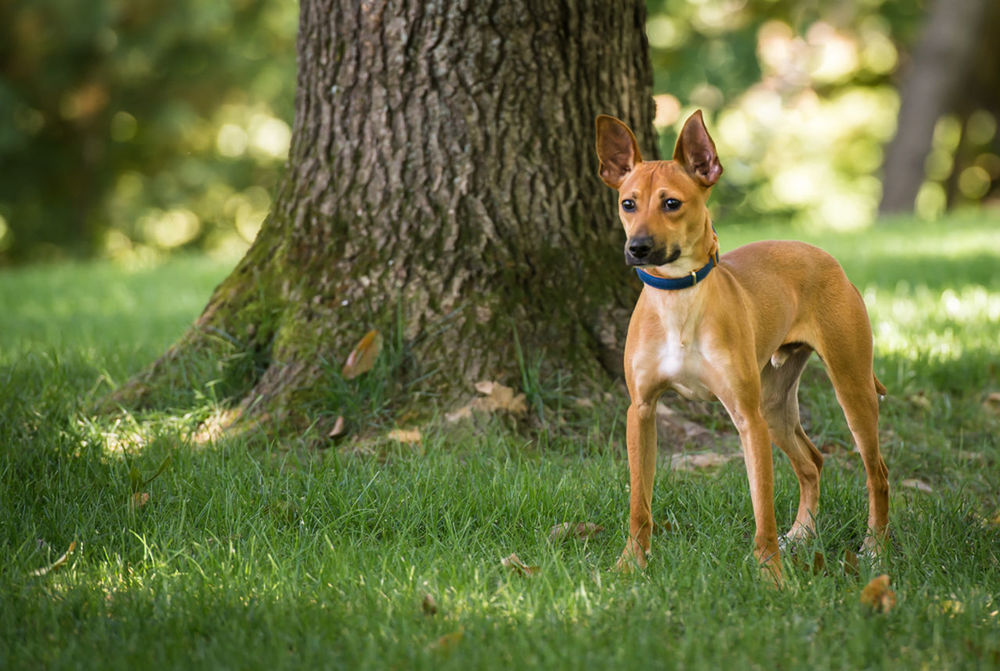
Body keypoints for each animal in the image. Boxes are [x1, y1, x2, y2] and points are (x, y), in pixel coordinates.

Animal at [596, 110, 888, 576]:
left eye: (671, 203)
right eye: (628, 203)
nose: (637, 248)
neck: (679, 299)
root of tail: (827, 258)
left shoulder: (747, 418)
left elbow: (762, 508)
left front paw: (770, 574)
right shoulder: (640, 410)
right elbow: (639, 503)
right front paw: (630, 564)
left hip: (850, 389)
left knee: (876, 473)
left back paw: (875, 547)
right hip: (774, 404)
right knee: (812, 463)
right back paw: (801, 534)